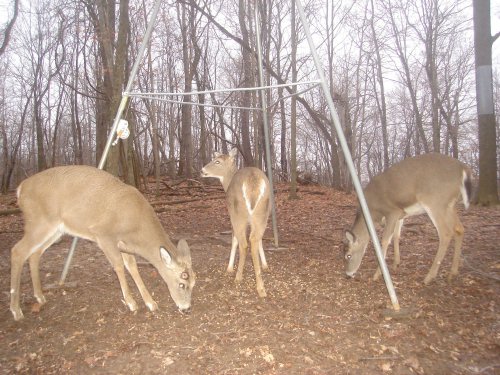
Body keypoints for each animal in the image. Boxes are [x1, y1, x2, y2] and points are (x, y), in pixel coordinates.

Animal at [9, 166, 195, 322]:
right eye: (182, 283)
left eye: (194, 283)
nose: (186, 308)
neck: (136, 228)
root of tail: (20, 189)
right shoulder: (104, 234)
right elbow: (118, 265)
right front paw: (131, 303)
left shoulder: (124, 243)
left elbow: (132, 266)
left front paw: (150, 303)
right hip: (39, 221)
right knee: (17, 251)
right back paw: (16, 310)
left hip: (55, 230)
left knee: (34, 254)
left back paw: (40, 297)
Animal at [200, 148, 272, 298]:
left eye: (217, 161)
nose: (202, 171)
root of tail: (253, 182)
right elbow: (261, 241)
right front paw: (265, 265)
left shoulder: (231, 215)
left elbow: (234, 240)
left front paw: (229, 268)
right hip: (263, 213)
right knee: (255, 239)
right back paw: (261, 287)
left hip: (239, 214)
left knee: (244, 244)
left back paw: (238, 277)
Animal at [342, 153, 474, 284]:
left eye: (348, 255)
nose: (348, 274)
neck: (372, 213)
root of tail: (463, 168)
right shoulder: (401, 214)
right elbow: (396, 236)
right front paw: (396, 264)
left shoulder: (392, 211)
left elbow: (385, 240)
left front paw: (377, 274)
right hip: (450, 205)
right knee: (459, 229)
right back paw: (452, 273)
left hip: (435, 201)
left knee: (446, 233)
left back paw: (429, 277)